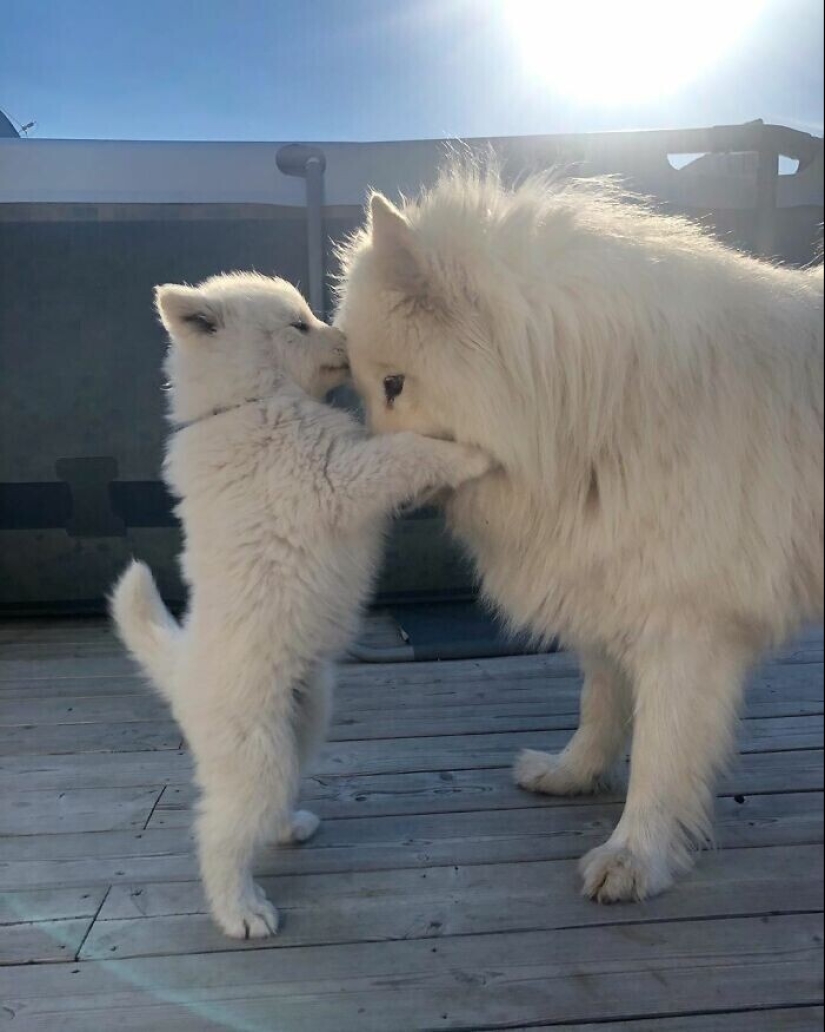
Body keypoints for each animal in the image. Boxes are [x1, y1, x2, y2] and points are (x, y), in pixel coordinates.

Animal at [113, 270, 493, 941]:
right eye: (299, 324)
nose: (346, 336)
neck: (246, 402)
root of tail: (181, 672)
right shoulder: (340, 475)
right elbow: (407, 452)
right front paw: (468, 453)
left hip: (306, 718)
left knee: (270, 799)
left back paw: (289, 826)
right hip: (255, 750)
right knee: (218, 836)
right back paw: (241, 910)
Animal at [336, 167, 825, 904]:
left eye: (394, 384)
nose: (363, 487)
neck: (594, 409)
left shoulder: (685, 627)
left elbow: (660, 752)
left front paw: (635, 856)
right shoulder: (608, 583)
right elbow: (600, 703)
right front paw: (573, 773)